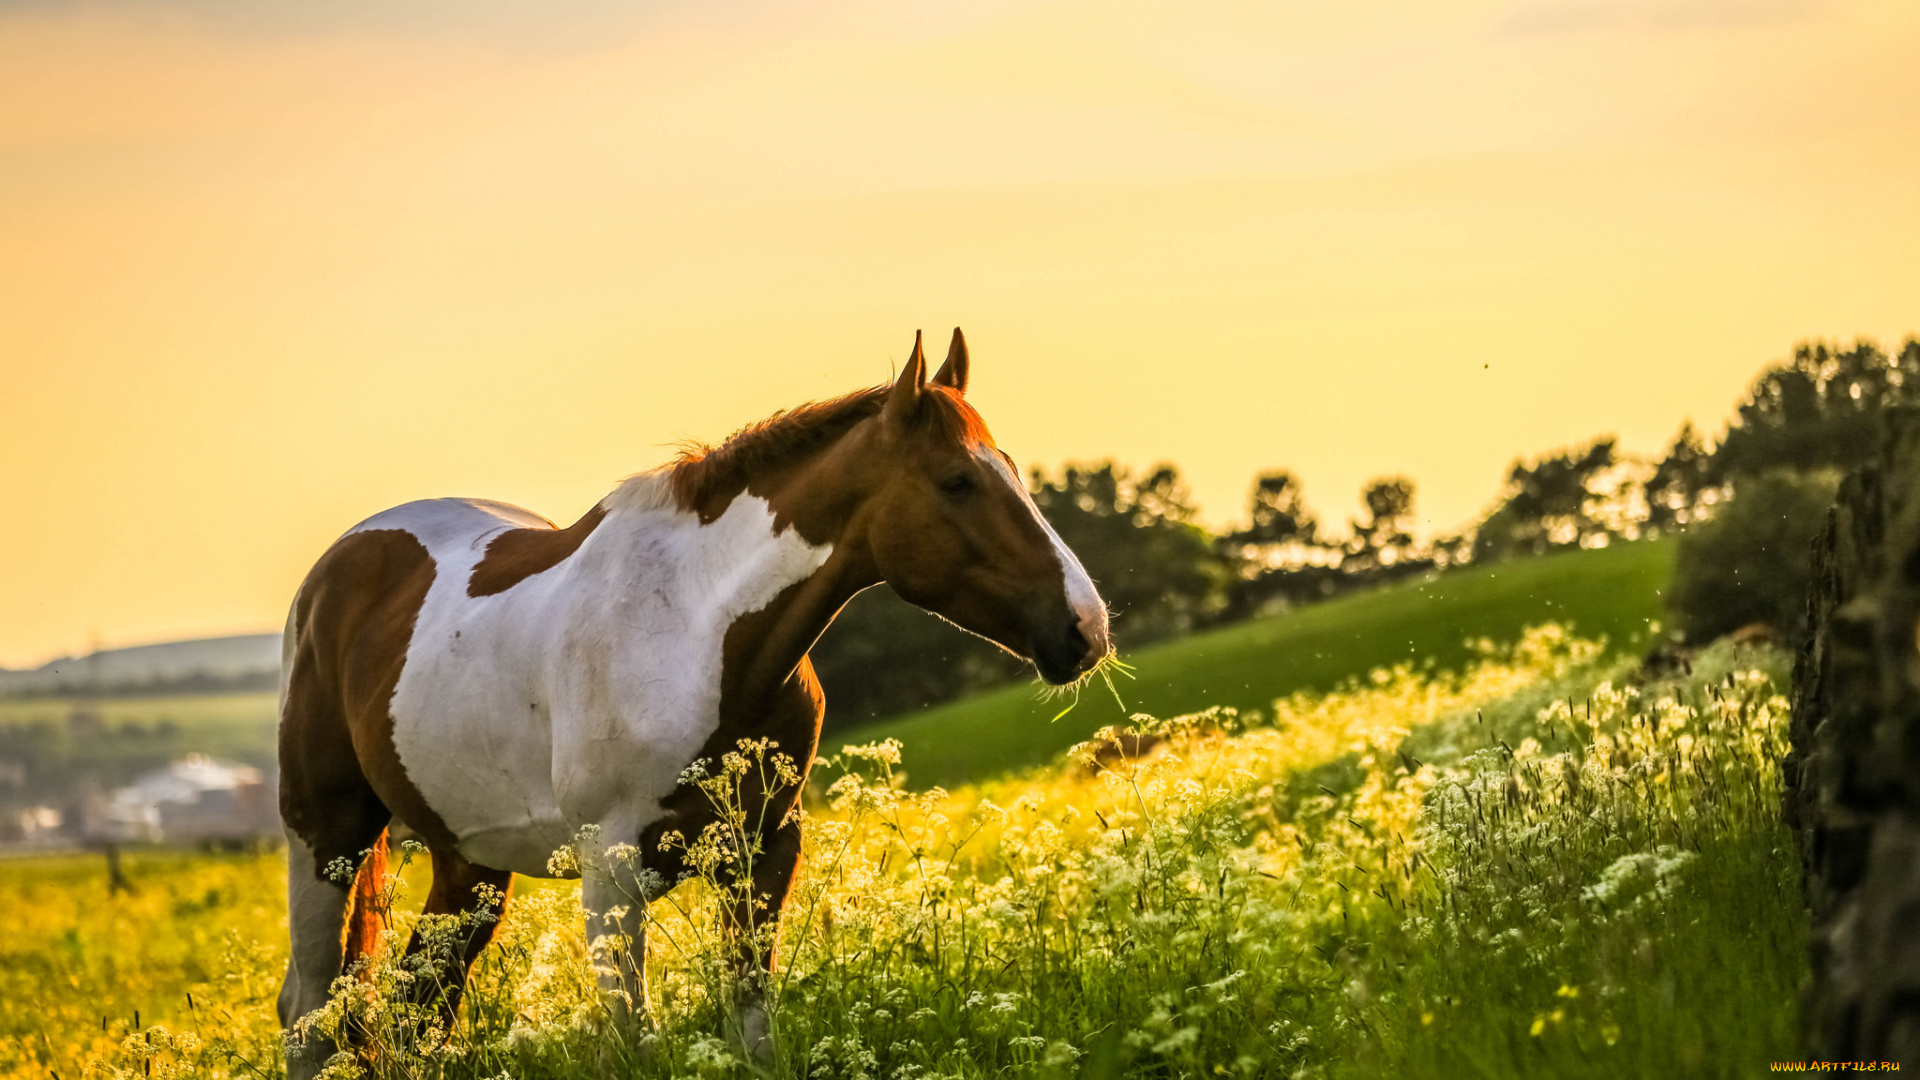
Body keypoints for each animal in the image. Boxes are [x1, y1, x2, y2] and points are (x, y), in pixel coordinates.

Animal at [272, 328, 1113, 1068]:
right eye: (957, 481)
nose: (1086, 627)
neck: (697, 626)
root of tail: (336, 569)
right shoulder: (610, 869)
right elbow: (634, 1038)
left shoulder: (765, 849)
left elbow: (753, 1015)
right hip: (328, 840)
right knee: (307, 1010)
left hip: (467, 863)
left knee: (418, 1007)